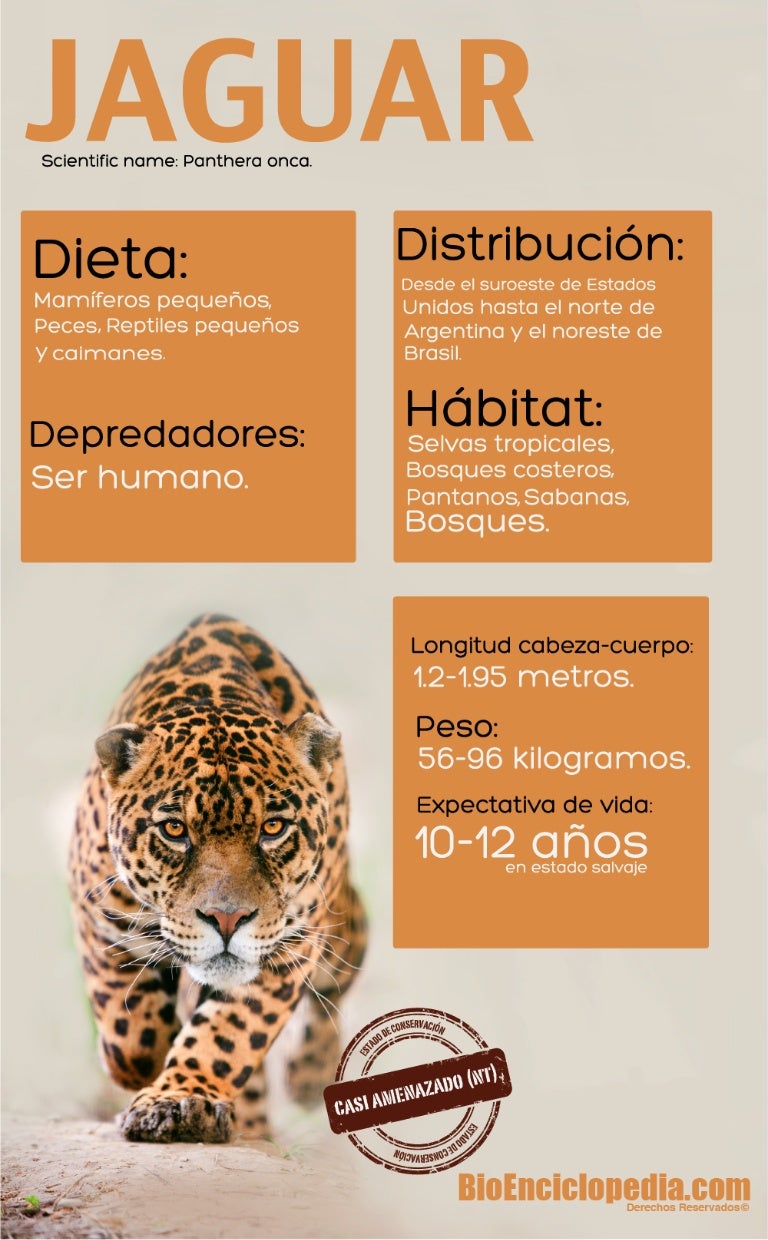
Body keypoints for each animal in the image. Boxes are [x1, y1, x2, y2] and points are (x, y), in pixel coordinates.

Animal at [68, 614, 367, 1143]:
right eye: (174, 830)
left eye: (273, 828)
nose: (227, 920)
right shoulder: (97, 916)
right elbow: (131, 1034)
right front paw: (149, 1068)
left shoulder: (288, 948)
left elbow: (229, 1033)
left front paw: (180, 1099)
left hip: (339, 928)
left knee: (338, 977)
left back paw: (308, 1077)